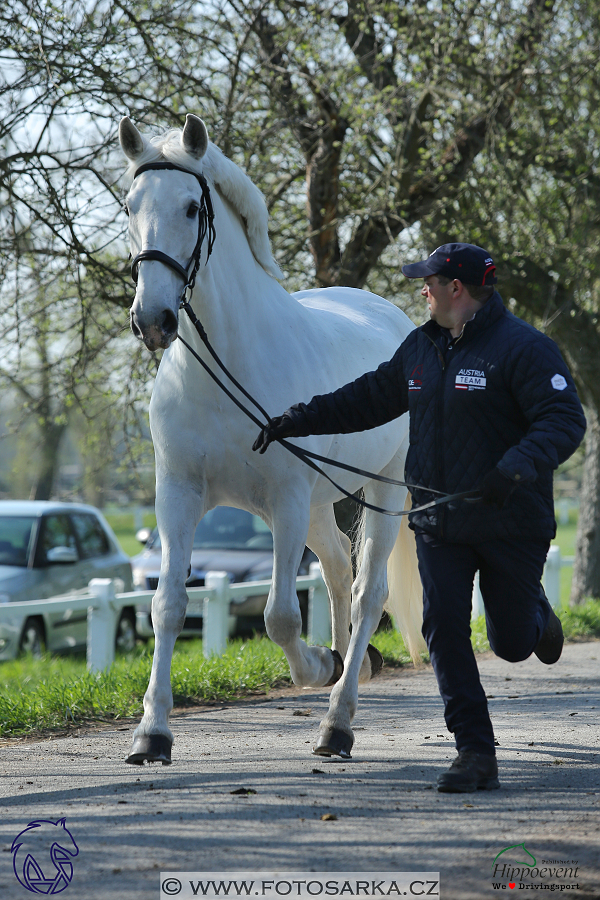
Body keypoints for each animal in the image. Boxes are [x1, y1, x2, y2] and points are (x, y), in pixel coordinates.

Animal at [119, 109, 424, 764]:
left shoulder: (284, 498)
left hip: (379, 491)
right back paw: (348, 667)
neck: (229, 368)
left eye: (191, 207)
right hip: (316, 506)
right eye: (130, 205)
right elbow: (167, 606)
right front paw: (152, 733)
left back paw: (338, 716)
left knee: (369, 592)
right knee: (335, 570)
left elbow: (281, 617)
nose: (152, 320)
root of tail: (391, 317)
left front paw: (317, 666)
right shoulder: (178, 494)